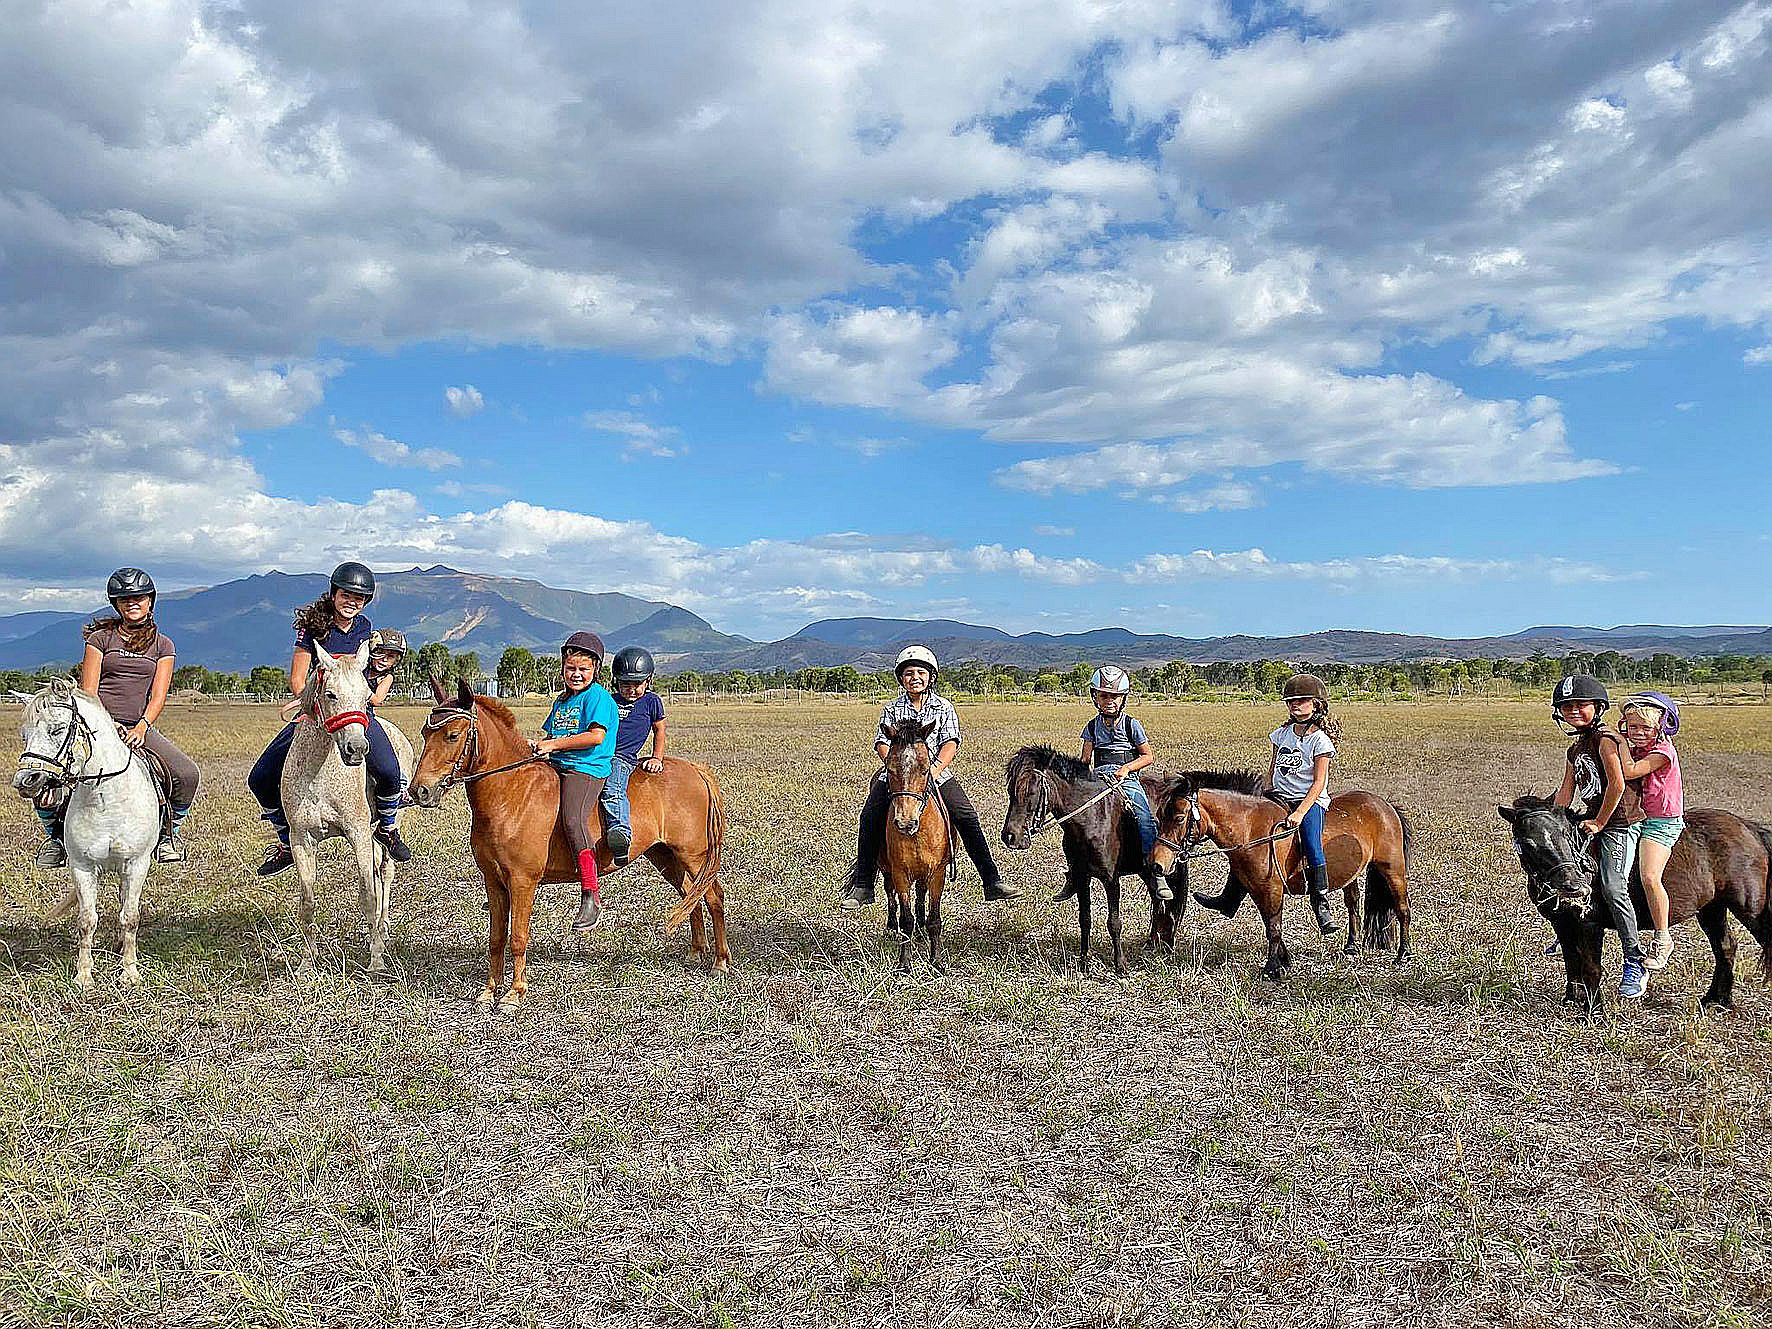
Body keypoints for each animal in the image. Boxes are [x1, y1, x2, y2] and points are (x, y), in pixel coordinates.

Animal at [287, 645, 418, 978]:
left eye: (366, 694)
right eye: (330, 694)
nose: (357, 748)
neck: (319, 774)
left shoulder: (357, 833)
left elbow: (368, 896)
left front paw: (376, 961)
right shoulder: (301, 839)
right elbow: (307, 902)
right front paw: (307, 963)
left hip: (389, 822)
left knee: (385, 868)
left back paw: (382, 928)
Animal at [407, 687, 726, 1006]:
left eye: (452, 735)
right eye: (424, 733)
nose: (419, 791)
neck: (511, 793)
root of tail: (695, 769)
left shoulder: (522, 882)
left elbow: (518, 937)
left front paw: (514, 993)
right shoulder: (494, 882)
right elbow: (496, 938)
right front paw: (488, 992)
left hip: (693, 856)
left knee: (713, 898)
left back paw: (720, 962)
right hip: (665, 856)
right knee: (690, 894)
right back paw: (696, 951)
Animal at [875, 719, 949, 978]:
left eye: (926, 769)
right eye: (890, 769)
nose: (906, 823)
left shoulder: (937, 873)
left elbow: (934, 919)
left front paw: (936, 961)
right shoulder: (900, 873)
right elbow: (905, 918)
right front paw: (904, 964)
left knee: (920, 894)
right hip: (887, 869)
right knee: (890, 894)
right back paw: (891, 926)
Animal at [1148, 776, 1410, 985]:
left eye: (1179, 818)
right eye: (1159, 816)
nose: (1156, 864)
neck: (1251, 829)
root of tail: (1386, 805)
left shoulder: (1270, 890)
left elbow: (1274, 927)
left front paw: (1272, 967)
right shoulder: (1257, 889)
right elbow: (1269, 924)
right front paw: (1284, 961)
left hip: (1393, 870)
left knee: (1402, 909)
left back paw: (1403, 954)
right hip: (1351, 874)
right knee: (1353, 904)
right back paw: (1351, 947)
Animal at [1495, 797, 1772, 1013]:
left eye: (1566, 834)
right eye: (1528, 843)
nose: (1574, 887)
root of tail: (1749, 829)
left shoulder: (1589, 924)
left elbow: (1591, 966)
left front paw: (1593, 1011)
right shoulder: (1562, 923)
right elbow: (1571, 961)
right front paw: (1571, 1000)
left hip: (1749, 909)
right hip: (1712, 908)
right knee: (1725, 947)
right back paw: (1716, 1000)